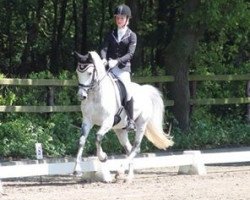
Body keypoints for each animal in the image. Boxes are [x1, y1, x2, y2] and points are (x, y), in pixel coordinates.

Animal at [73, 50, 173, 181]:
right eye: (77, 72)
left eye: (89, 73)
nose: (81, 95)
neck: (96, 95)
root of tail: (144, 90)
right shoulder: (87, 121)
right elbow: (81, 141)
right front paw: (77, 170)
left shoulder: (108, 121)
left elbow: (98, 137)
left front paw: (103, 157)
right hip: (120, 130)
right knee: (129, 149)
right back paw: (128, 176)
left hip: (141, 124)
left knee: (136, 148)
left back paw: (120, 172)